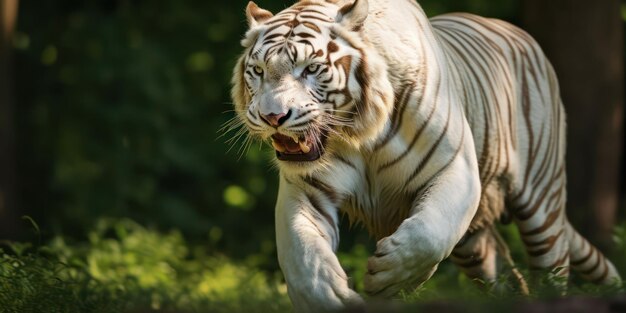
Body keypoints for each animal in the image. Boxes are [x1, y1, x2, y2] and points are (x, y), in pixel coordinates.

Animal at [229, 0, 620, 308]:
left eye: (311, 68)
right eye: (259, 71)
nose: (273, 116)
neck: (361, 134)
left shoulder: (454, 169)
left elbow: (428, 235)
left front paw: (387, 278)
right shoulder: (306, 189)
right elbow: (303, 256)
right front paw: (332, 298)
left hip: (542, 201)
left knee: (552, 268)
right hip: (474, 245)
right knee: (501, 277)